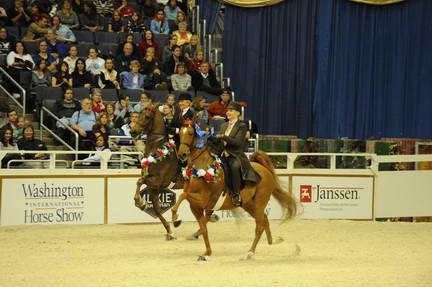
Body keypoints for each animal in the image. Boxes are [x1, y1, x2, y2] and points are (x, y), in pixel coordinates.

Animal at [175, 121, 296, 260]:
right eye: (180, 133)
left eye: (190, 133)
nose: (182, 155)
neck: (202, 169)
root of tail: (264, 169)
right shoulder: (195, 207)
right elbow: (203, 227)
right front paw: (207, 253)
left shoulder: (202, 200)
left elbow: (183, 195)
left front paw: (176, 219)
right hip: (249, 205)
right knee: (264, 220)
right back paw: (272, 241)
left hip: (259, 203)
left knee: (259, 226)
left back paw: (250, 252)